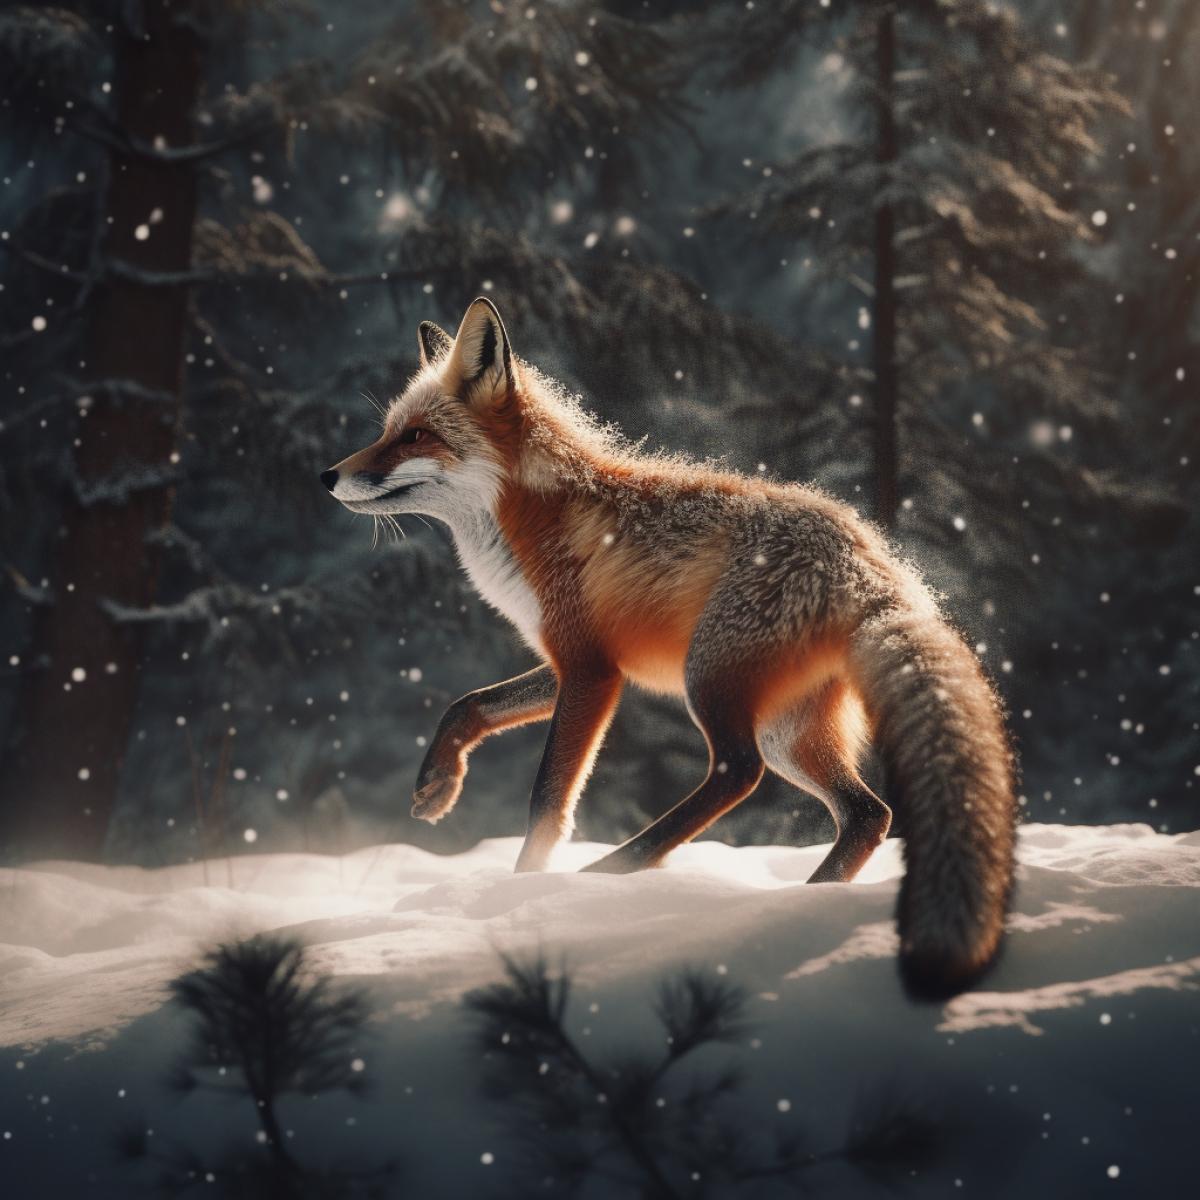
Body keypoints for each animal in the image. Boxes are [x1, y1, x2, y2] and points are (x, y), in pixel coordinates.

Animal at [321, 297, 1017, 998]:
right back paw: (803, 900)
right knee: (867, 814)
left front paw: (523, 895)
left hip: (709, 681)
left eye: (415, 437)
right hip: (789, 730)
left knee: (737, 772)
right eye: (389, 430)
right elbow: (467, 705)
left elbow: (548, 800)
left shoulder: (592, 671)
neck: (531, 523)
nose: (328, 476)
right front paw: (439, 784)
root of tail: (874, 567)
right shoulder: (571, 663)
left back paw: (615, 871)